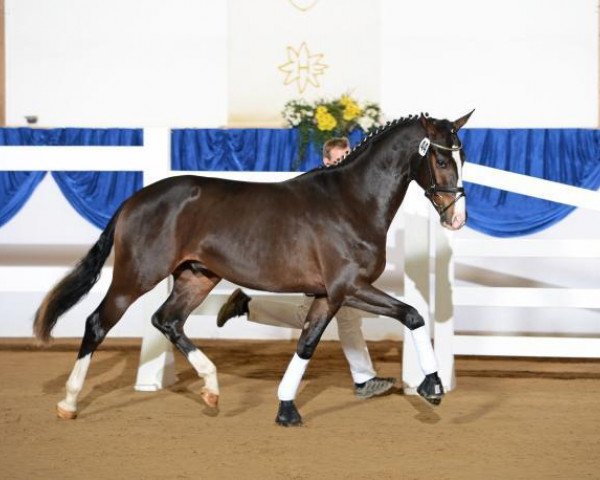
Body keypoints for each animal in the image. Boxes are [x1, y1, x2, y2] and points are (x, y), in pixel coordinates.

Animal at [34, 111, 474, 424]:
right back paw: (69, 403)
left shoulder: (327, 294)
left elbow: (306, 343)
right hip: (135, 277)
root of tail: (133, 200)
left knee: (167, 320)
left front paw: (286, 410)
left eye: (463, 156)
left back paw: (212, 389)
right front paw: (433, 387)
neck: (351, 202)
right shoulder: (348, 287)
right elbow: (412, 315)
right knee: (97, 323)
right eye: (440, 157)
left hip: (196, 277)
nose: (456, 218)